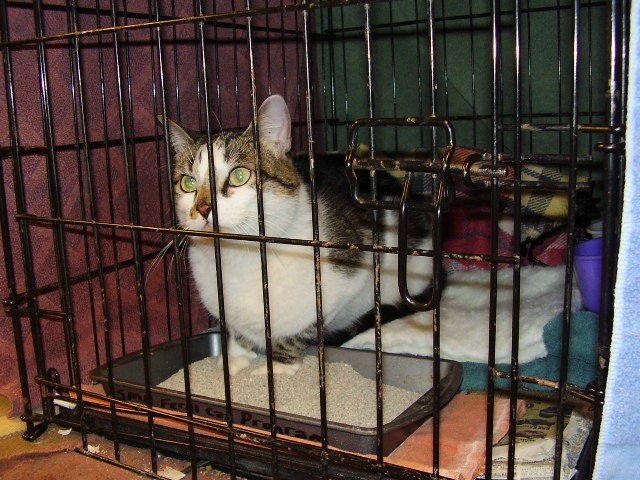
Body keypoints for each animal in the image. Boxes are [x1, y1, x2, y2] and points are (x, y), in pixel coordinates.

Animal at [162, 94, 432, 376]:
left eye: (239, 175)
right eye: (188, 183)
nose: (203, 208)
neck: (238, 258)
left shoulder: (347, 281)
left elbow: (303, 328)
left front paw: (278, 367)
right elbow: (236, 329)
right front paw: (236, 358)